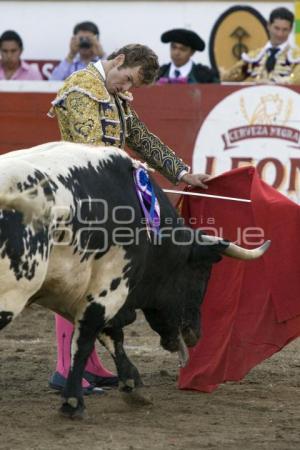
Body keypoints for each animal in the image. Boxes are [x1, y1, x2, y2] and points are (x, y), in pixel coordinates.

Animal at [0, 142, 270, 418]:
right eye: (202, 274)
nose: (196, 334)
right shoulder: (110, 285)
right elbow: (88, 338)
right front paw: (73, 402)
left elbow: (108, 336)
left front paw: (133, 385)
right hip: (11, 294)